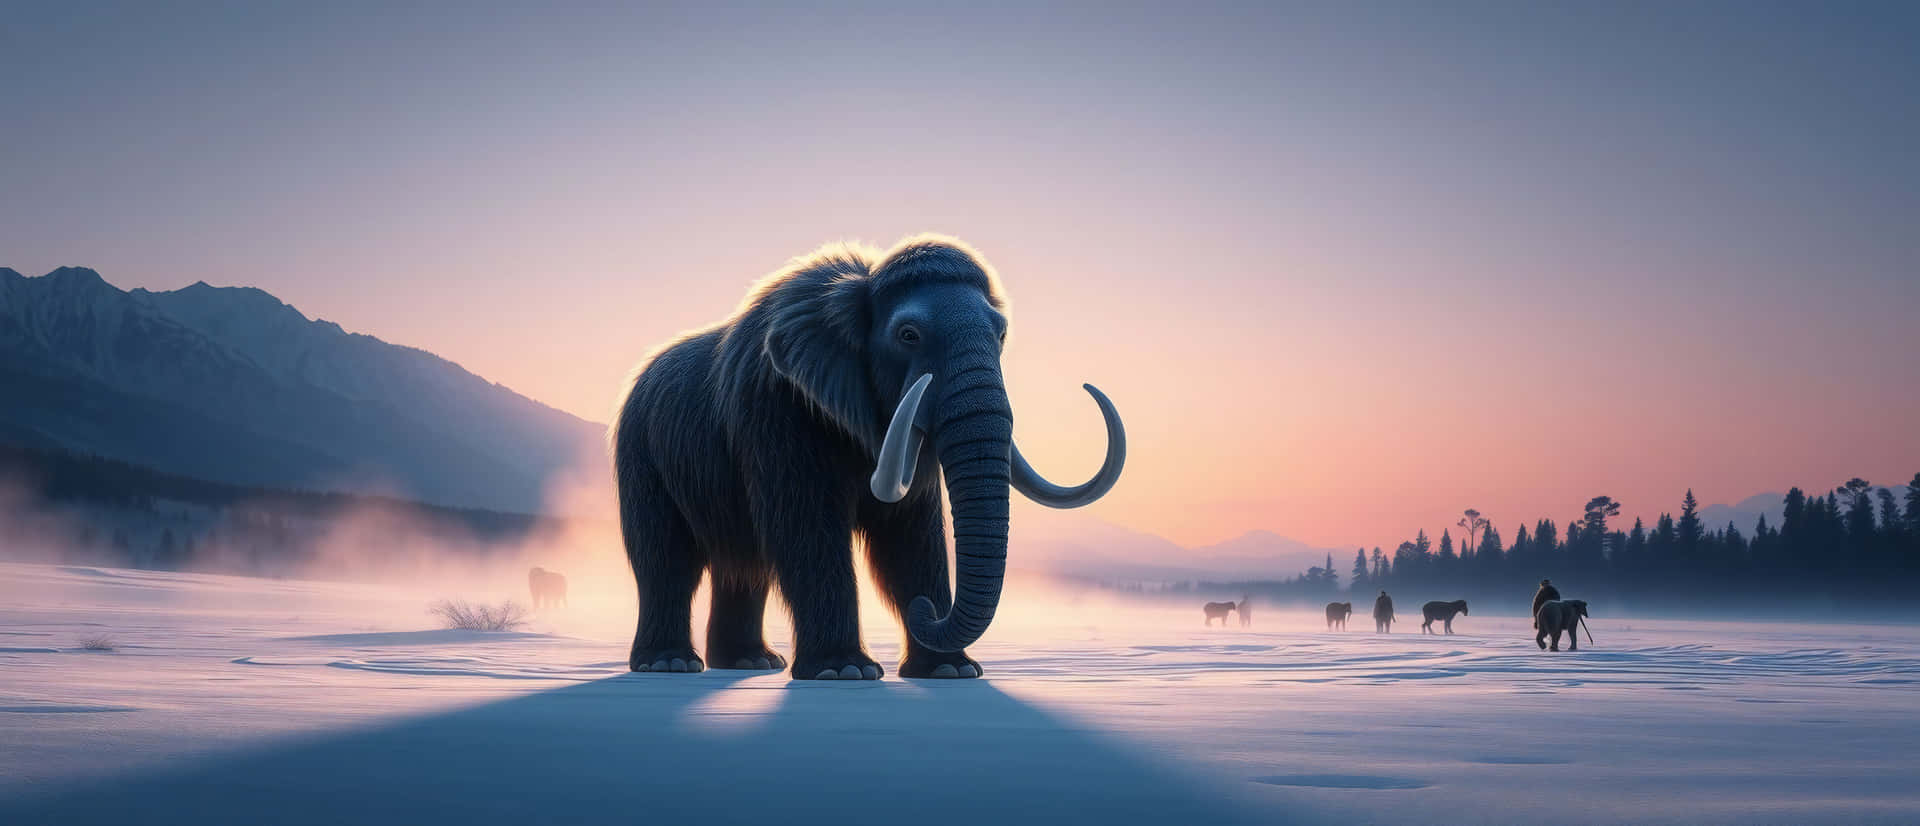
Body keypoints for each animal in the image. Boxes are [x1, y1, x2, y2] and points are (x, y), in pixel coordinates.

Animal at [612, 236, 1125, 680]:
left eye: (1000, 334)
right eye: (909, 335)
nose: (927, 610)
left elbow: (908, 535)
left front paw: (951, 672)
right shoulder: (777, 410)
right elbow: (810, 528)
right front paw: (844, 672)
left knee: (745, 567)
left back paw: (750, 663)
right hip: (639, 455)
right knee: (667, 562)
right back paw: (669, 665)